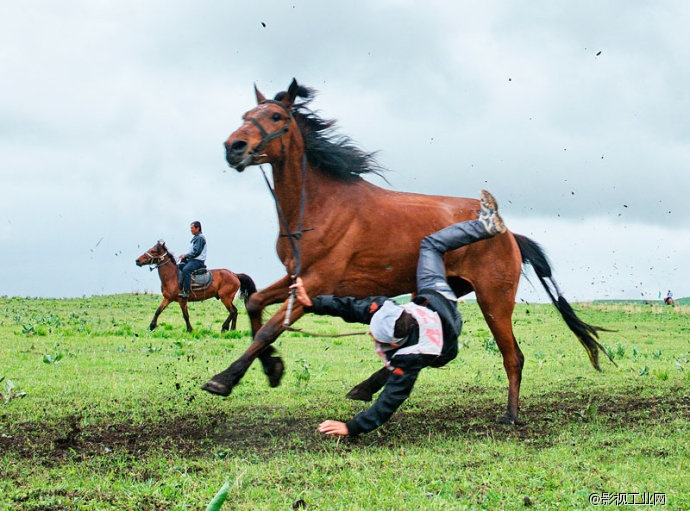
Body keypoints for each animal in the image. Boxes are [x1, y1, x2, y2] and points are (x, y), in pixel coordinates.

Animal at [202, 79, 612, 424]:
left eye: (275, 117)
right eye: (246, 115)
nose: (233, 148)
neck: (317, 207)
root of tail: (509, 233)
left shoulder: (317, 283)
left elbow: (270, 328)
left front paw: (223, 379)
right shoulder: (295, 276)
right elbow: (256, 306)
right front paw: (272, 369)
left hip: (494, 299)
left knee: (513, 356)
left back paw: (510, 415)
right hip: (436, 291)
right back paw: (365, 387)